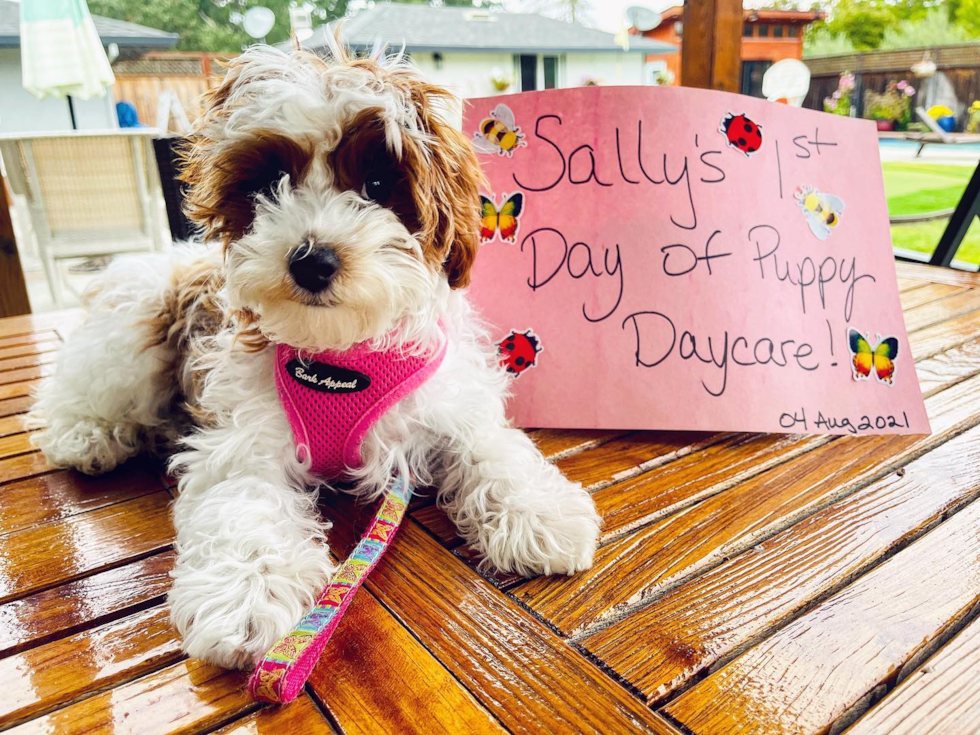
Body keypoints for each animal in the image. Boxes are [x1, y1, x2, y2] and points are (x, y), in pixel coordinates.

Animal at [28, 43, 596, 668]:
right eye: (272, 180)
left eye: (377, 182)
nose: (312, 260)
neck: (339, 357)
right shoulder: (242, 438)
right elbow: (245, 502)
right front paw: (246, 593)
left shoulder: (448, 399)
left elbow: (492, 447)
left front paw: (539, 513)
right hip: (135, 325)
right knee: (79, 388)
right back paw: (88, 435)